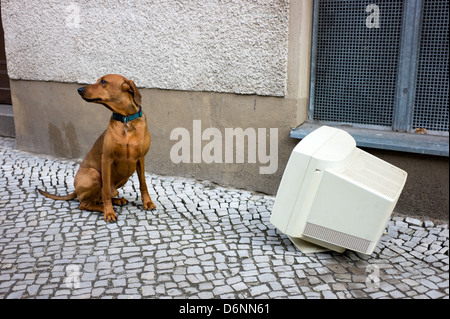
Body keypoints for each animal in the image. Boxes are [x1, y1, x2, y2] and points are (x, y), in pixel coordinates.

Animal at [37, 74, 156, 222]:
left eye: (103, 81)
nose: (79, 89)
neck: (125, 120)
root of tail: (76, 190)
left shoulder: (141, 158)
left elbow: (143, 184)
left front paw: (148, 202)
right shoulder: (107, 159)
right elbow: (105, 192)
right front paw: (109, 212)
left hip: (124, 177)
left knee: (99, 198)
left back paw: (117, 200)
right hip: (94, 174)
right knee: (85, 203)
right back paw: (104, 207)